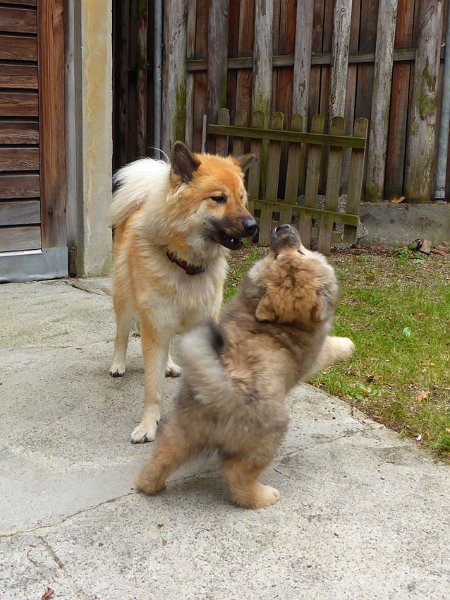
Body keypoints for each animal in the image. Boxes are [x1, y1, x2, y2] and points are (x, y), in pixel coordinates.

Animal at [110, 141, 256, 440]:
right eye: (218, 198)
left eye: (241, 198)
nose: (253, 226)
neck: (186, 265)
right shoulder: (155, 324)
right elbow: (152, 387)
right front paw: (148, 425)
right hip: (125, 299)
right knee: (121, 333)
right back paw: (118, 364)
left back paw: (168, 365)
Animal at [135, 224, 354, 506]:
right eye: (279, 255)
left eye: (299, 252)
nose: (282, 227)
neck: (280, 321)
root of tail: (222, 390)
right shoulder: (314, 354)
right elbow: (331, 346)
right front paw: (349, 344)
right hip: (266, 439)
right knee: (237, 476)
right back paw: (264, 496)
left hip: (182, 430)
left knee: (161, 460)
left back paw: (149, 485)